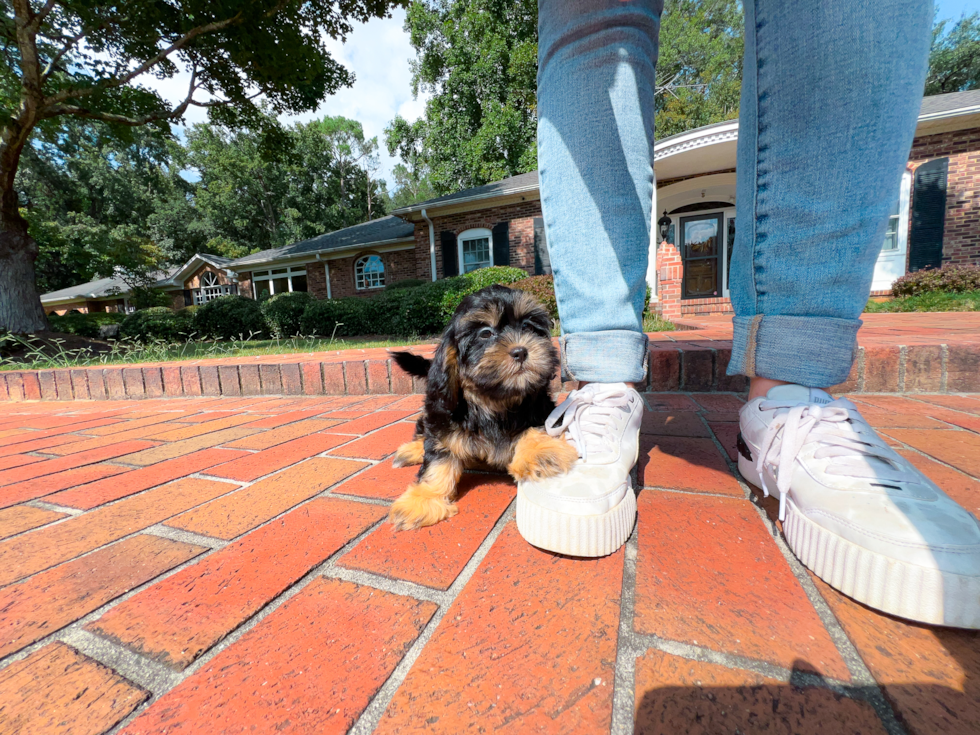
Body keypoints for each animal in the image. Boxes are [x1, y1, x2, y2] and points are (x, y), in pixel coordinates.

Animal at [386, 284, 580, 532]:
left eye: (527, 327)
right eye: (485, 333)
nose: (521, 351)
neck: (494, 400)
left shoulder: (540, 406)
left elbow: (536, 426)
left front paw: (540, 452)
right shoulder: (444, 420)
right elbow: (437, 459)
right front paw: (424, 499)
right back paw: (412, 450)